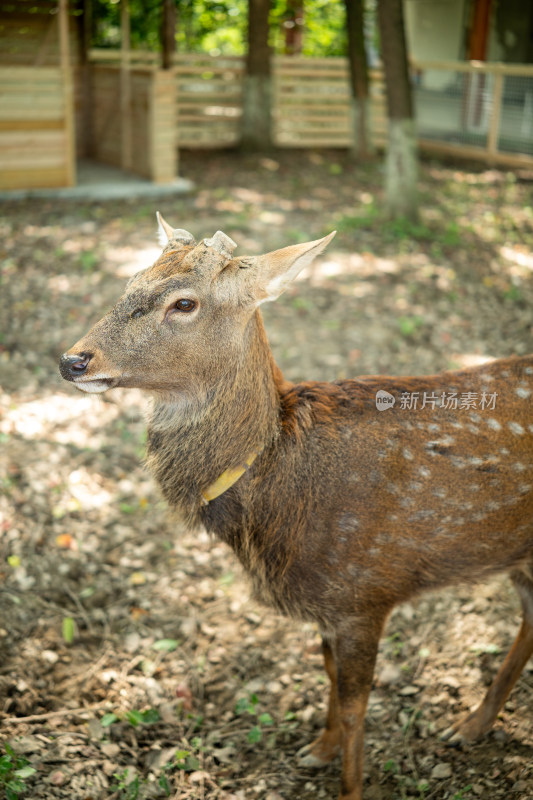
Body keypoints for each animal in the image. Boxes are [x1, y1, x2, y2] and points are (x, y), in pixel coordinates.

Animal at [60, 217, 532, 800]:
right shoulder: (328, 604)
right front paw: (319, 749)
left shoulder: (364, 594)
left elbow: (355, 706)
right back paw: (472, 725)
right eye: (131, 280)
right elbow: (326, 674)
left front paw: (349, 785)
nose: (72, 360)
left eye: (185, 303)